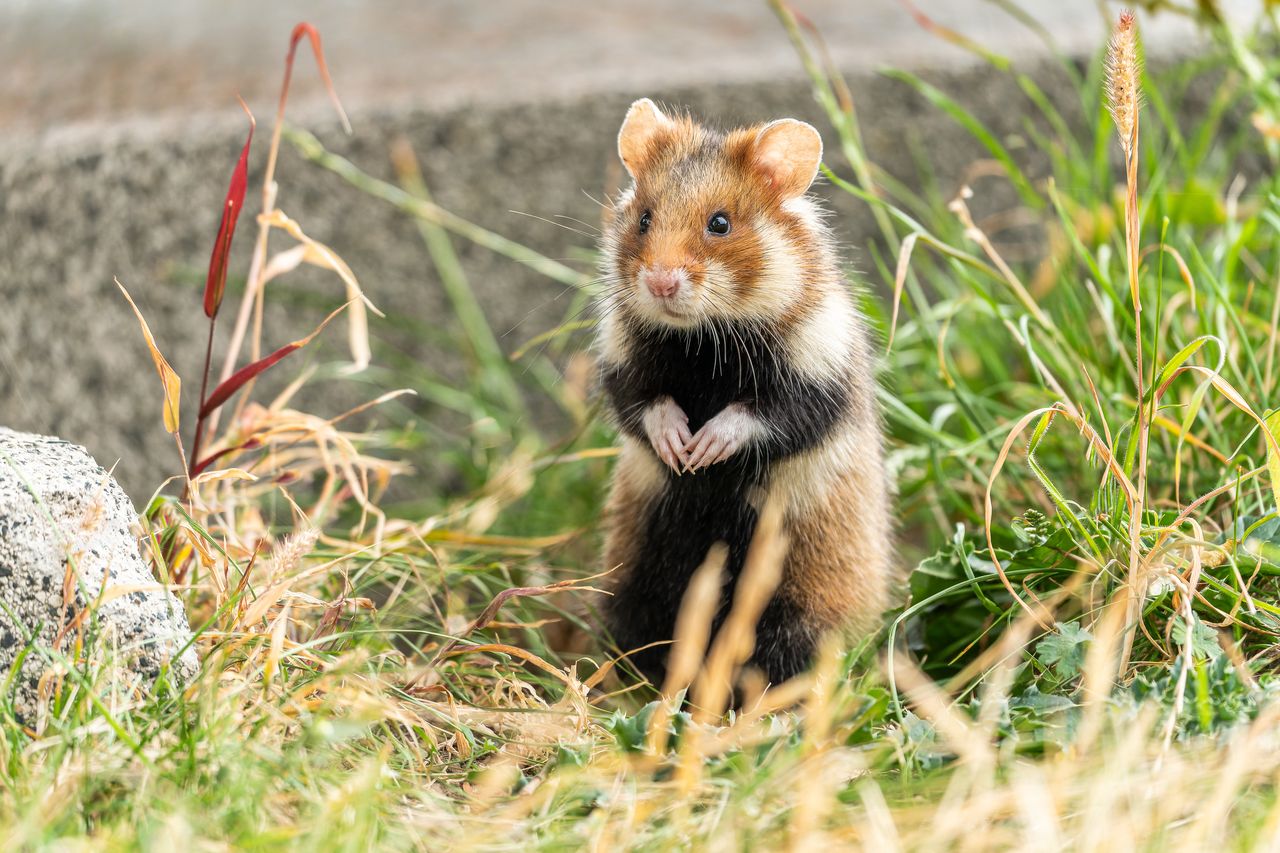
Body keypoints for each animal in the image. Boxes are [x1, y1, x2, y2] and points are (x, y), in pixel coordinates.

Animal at [596, 99, 890, 686]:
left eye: (720, 223)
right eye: (644, 219)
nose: (660, 282)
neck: (702, 340)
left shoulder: (817, 379)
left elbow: (761, 417)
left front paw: (703, 449)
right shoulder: (623, 363)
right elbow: (645, 405)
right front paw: (679, 449)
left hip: (800, 604)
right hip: (634, 582)